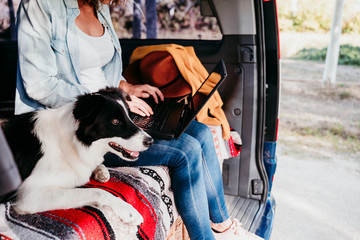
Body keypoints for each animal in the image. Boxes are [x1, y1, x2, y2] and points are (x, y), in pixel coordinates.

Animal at [0, 87, 152, 229]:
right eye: (115, 121)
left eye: (130, 117)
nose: (150, 141)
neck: (72, 142)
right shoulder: (31, 196)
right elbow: (98, 191)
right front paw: (128, 211)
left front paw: (100, 170)